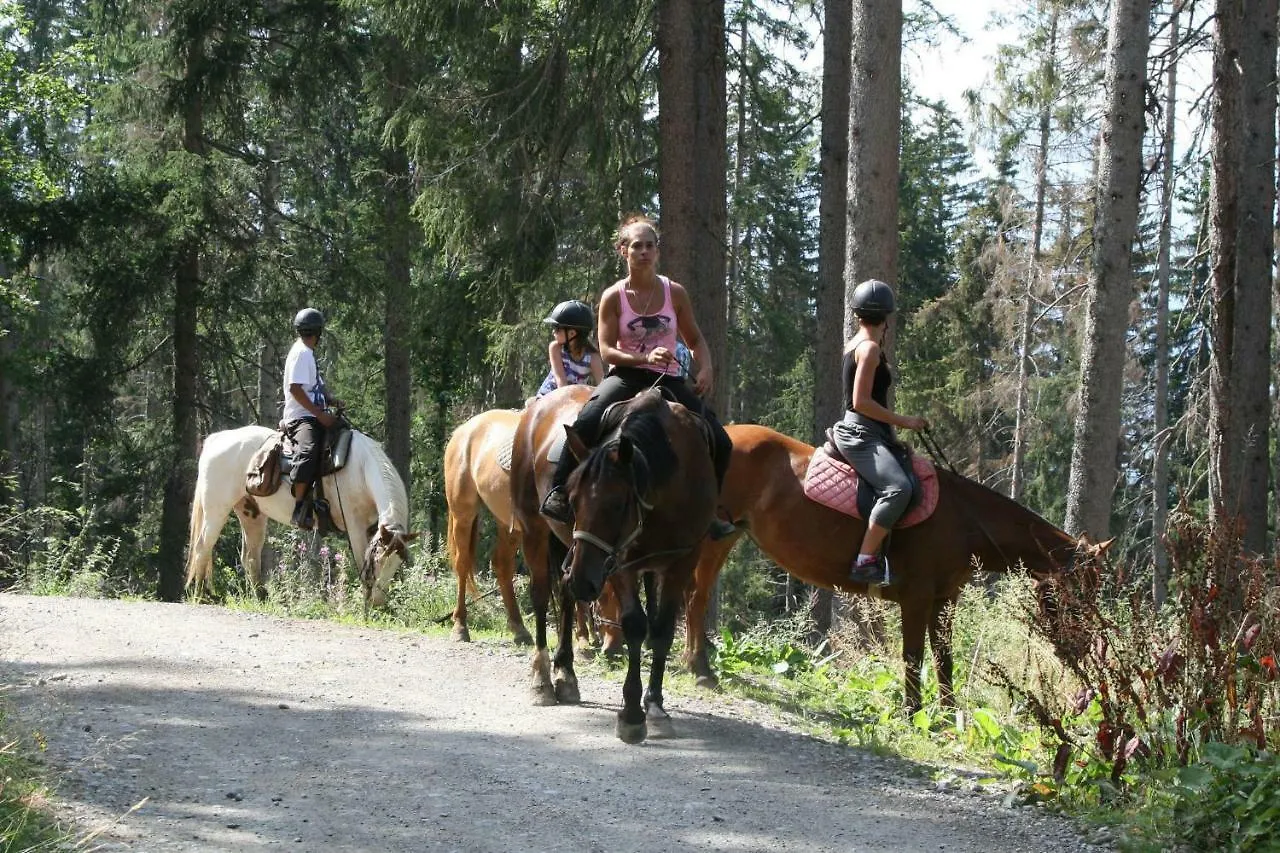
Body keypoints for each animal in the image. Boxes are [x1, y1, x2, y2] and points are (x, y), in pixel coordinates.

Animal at [186, 422, 414, 601]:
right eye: (378, 562)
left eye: (396, 563)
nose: (377, 603)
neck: (360, 469)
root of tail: (217, 439)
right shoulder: (354, 526)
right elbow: (360, 562)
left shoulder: (371, 527)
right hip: (216, 510)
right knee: (203, 547)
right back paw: (200, 596)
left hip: (250, 513)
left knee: (249, 557)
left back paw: (261, 598)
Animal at [440, 402, 619, 648]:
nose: (614, 644)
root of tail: (464, 430)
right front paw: (582, 639)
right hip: (463, 512)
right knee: (463, 564)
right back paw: (460, 626)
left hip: (510, 523)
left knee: (502, 564)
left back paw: (519, 629)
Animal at [509, 381, 716, 742]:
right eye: (572, 498)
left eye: (618, 504)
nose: (584, 581)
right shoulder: (619, 561)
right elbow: (634, 624)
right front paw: (632, 714)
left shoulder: (681, 560)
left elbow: (662, 631)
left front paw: (656, 706)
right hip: (534, 530)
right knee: (541, 594)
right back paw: (542, 681)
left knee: (566, 596)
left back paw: (566, 673)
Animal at [680, 422, 1090, 712]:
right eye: (1081, 590)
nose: (1083, 649)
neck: (965, 520)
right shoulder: (916, 598)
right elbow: (913, 656)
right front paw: (913, 712)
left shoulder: (944, 601)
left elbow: (943, 658)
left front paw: (947, 716)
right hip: (712, 539)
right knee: (696, 598)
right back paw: (700, 669)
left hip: (724, 535)